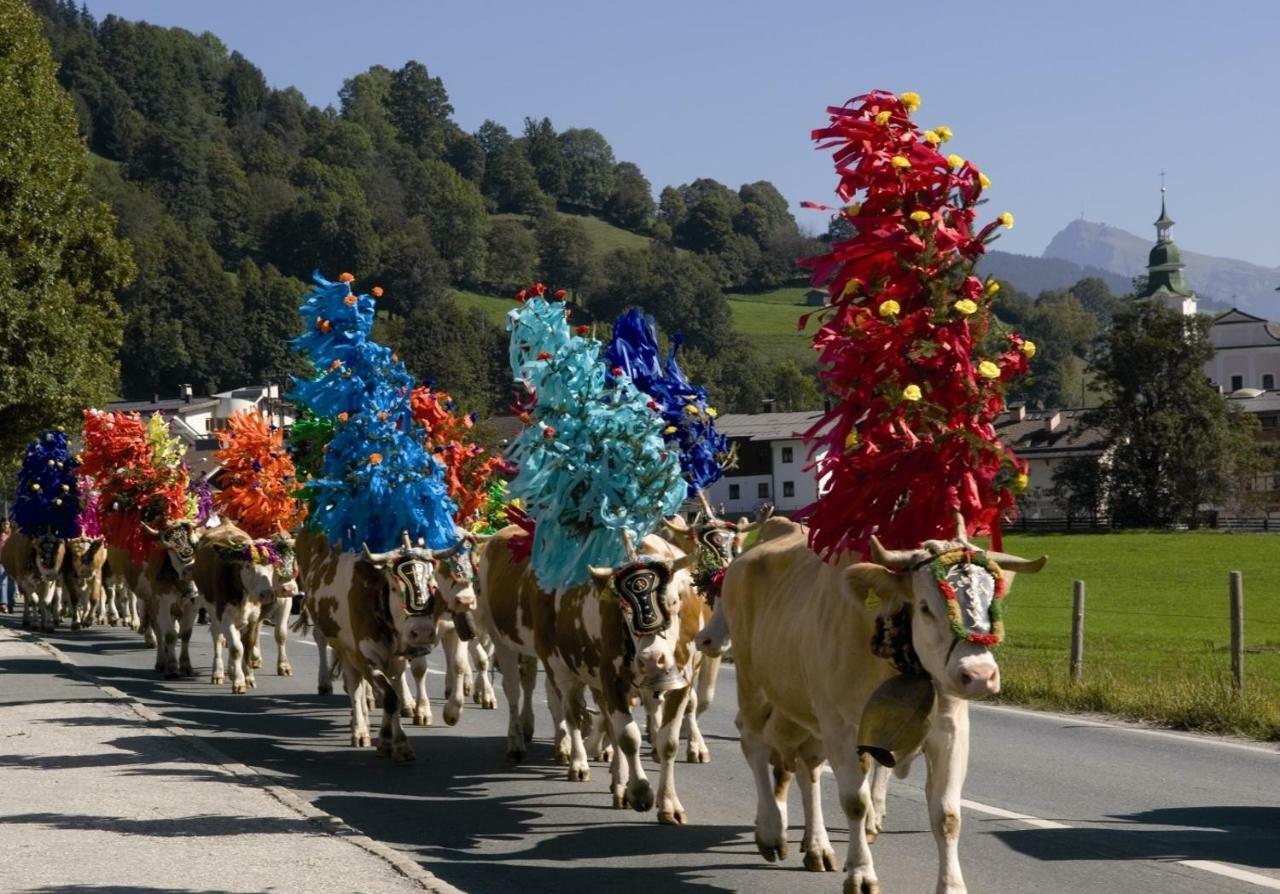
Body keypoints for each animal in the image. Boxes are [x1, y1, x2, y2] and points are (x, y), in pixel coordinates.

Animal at [294, 525, 460, 763]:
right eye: (396, 589)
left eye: (433, 586)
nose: (422, 632)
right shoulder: (366, 656)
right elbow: (389, 697)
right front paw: (398, 743)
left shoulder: (397, 657)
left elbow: (395, 694)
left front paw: (388, 740)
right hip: (343, 647)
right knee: (353, 685)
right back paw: (359, 729)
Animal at [481, 522, 701, 819]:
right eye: (623, 608)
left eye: (676, 602)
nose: (652, 660)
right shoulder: (611, 679)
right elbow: (628, 737)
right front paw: (640, 791)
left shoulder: (681, 682)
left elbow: (667, 742)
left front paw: (668, 804)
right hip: (525, 650)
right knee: (536, 700)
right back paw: (553, 754)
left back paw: (615, 780)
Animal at [716, 514, 1044, 891]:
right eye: (925, 607)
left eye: (994, 601)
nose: (978, 675)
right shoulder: (839, 725)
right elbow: (854, 801)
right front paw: (861, 872)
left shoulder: (951, 730)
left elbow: (947, 814)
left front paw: (951, 885)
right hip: (752, 681)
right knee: (752, 741)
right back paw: (771, 831)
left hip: (802, 706)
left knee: (807, 766)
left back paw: (817, 846)